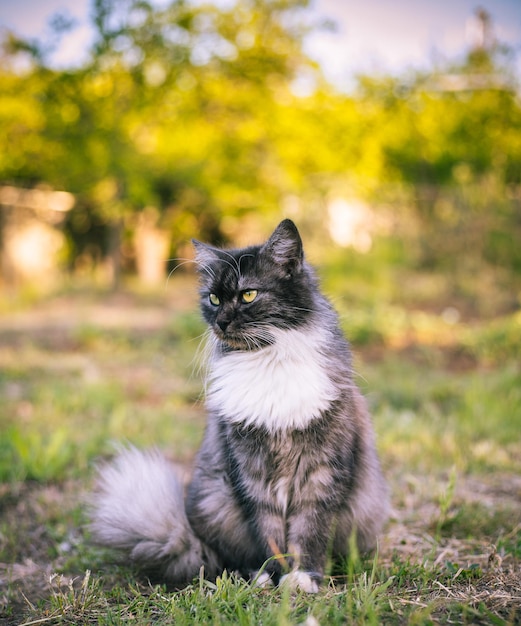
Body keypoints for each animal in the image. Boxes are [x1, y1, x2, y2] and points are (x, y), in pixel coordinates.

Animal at [89, 218, 388, 588]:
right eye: (214, 299)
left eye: (248, 295)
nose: (221, 322)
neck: (267, 360)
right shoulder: (251, 475)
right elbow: (268, 533)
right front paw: (272, 576)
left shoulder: (321, 473)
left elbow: (309, 532)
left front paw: (303, 578)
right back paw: (249, 573)